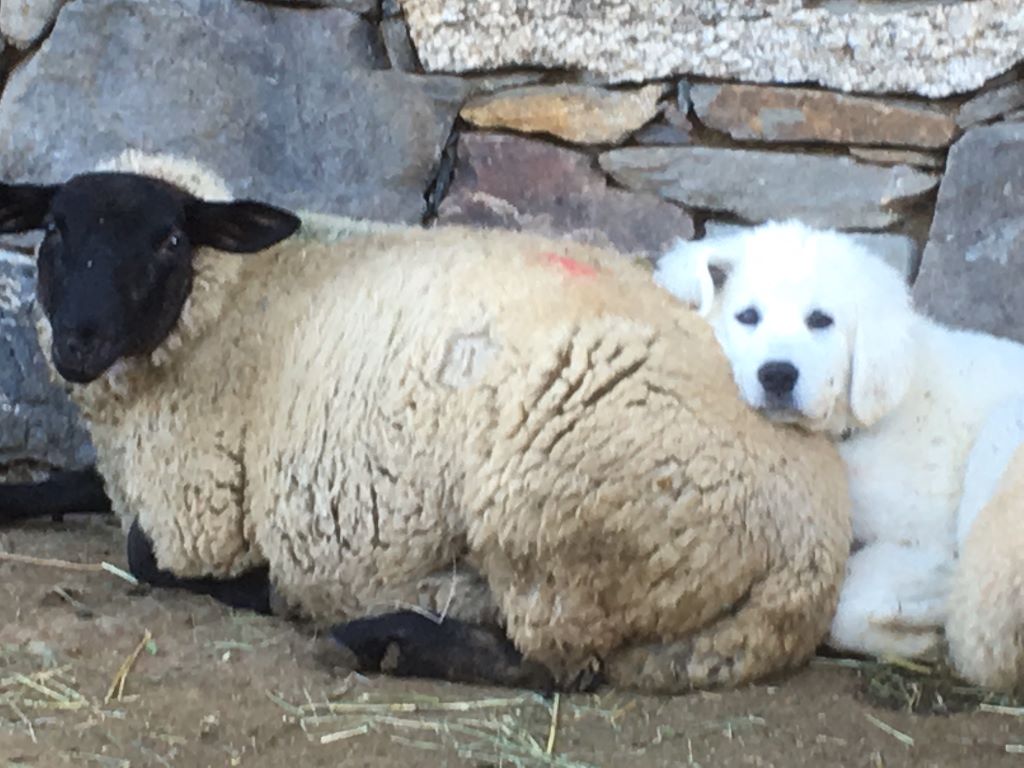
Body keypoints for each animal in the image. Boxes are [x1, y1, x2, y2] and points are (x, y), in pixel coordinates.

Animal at [0, 151, 851, 696]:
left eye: (171, 241)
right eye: (54, 233)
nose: (77, 342)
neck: (235, 300)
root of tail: (814, 556)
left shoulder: (195, 509)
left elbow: (147, 558)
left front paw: (269, 585)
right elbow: (66, 483)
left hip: (557, 527)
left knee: (556, 666)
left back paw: (377, 635)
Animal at [651, 219, 1024, 688]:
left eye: (820, 321)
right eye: (748, 317)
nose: (776, 375)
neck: (852, 431)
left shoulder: (928, 541)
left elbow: (851, 602)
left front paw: (922, 630)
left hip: (1002, 433)